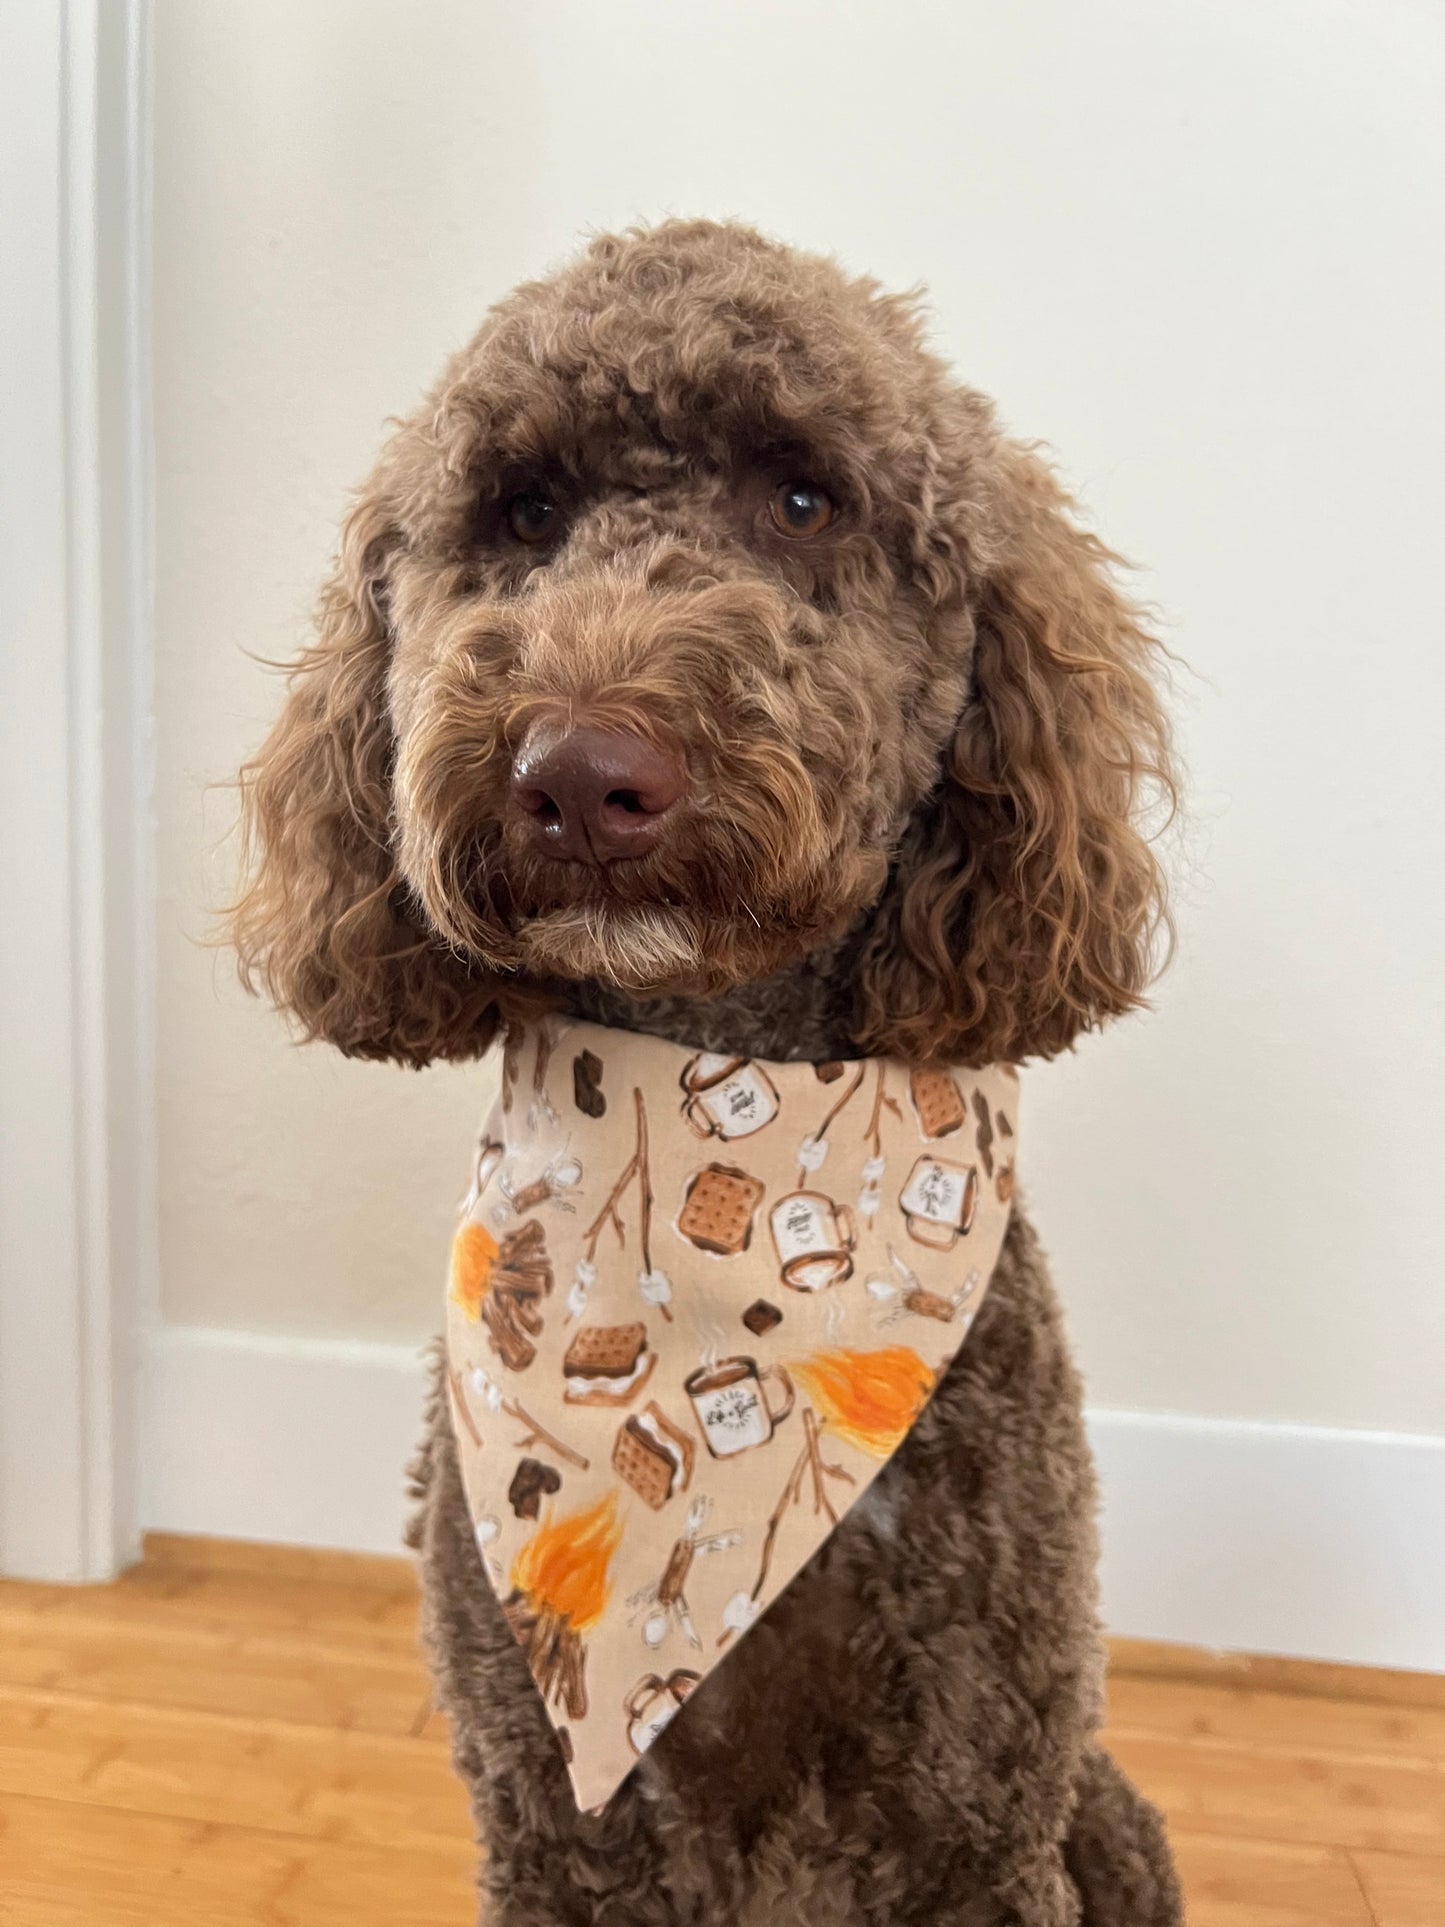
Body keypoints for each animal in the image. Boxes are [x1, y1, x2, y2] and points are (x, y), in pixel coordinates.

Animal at [235, 218, 1186, 1919]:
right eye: (525, 511)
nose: (579, 774)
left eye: (803, 499)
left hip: (1101, 1818)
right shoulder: (549, 1823)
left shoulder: (971, 1813)